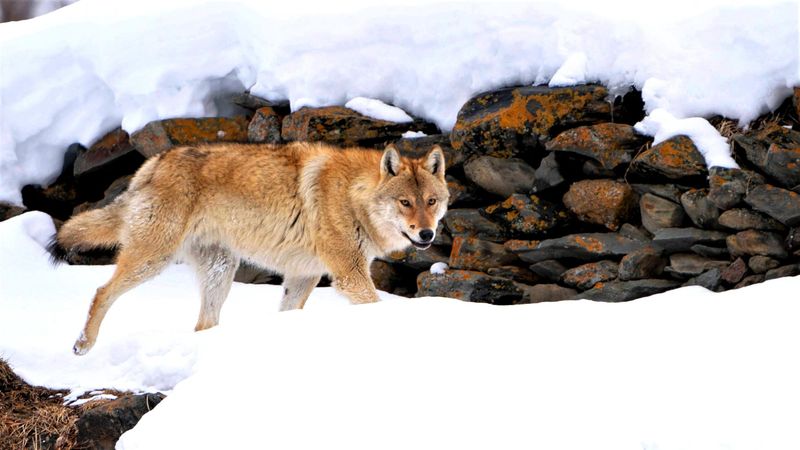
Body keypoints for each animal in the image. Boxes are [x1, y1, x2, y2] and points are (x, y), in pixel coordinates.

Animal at [50, 142, 450, 356]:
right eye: (405, 203)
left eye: (431, 201)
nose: (427, 234)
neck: (354, 196)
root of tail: (151, 163)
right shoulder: (349, 276)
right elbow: (375, 305)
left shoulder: (303, 276)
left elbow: (287, 313)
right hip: (153, 259)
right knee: (101, 292)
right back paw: (83, 344)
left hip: (220, 272)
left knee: (203, 324)